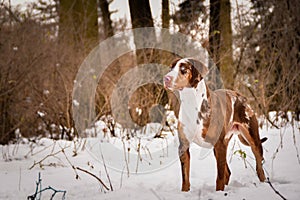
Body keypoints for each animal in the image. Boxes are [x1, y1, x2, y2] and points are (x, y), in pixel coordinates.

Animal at [164, 57, 268, 191]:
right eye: (171, 68)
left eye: (183, 69)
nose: (166, 78)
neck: (192, 104)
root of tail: (241, 96)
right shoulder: (184, 146)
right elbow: (185, 178)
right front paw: (184, 193)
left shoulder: (219, 145)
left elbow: (219, 177)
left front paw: (219, 191)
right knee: (227, 172)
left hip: (253, 140)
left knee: (259, 167)